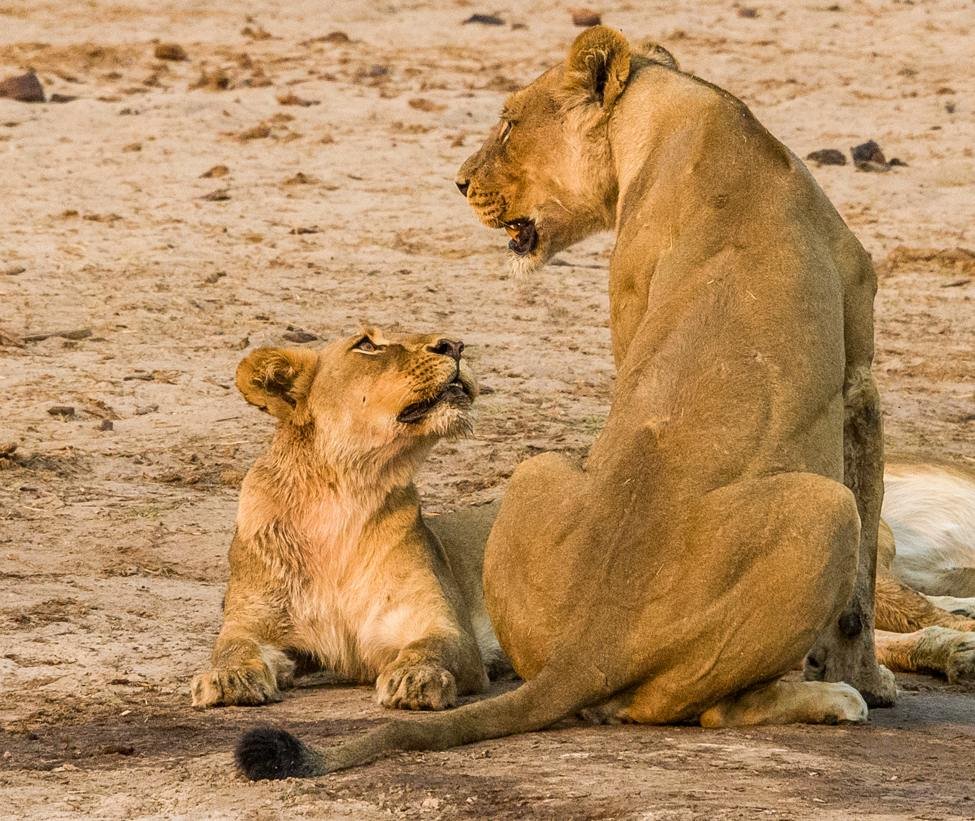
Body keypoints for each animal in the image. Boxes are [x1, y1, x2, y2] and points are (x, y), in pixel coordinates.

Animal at [190, 327, 504, 712]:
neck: (344, 495)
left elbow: (431, 646)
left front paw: (416, 677)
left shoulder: (442, 623)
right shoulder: (251, 621)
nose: (455, 346)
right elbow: (232, 647)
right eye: (367, 345)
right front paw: (228, 678)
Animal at [235, 25, 898, 778]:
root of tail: (589, 647)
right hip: (826, 509)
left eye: (509, 122)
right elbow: (861, 581)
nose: (459, 182)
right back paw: (834, 696)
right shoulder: (859, 380)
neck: (679, 111)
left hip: (535, 470)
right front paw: (871, 679)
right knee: (713, 708)